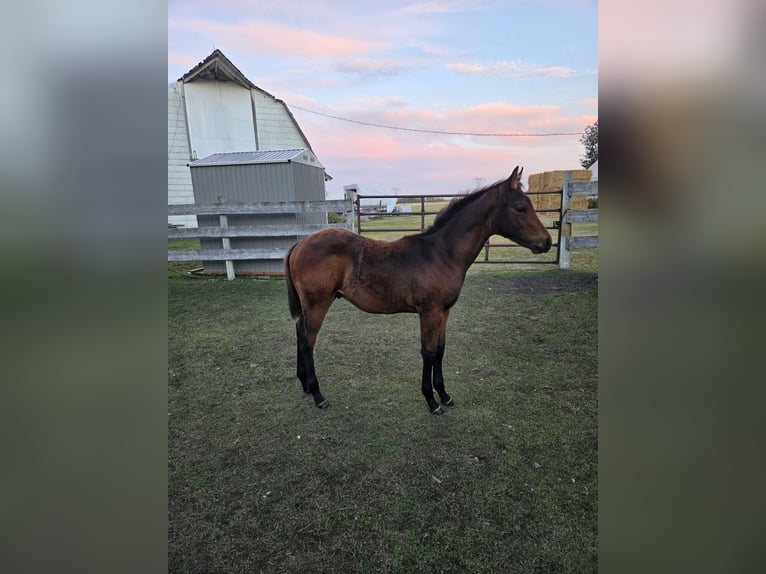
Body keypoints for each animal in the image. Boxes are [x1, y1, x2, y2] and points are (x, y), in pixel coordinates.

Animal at [285, 166, 552, 414]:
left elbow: (440, 350)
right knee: (308, 339)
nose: (547, 242)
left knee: (299, 331)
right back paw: (318, 395)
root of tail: (300, 243)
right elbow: (428, 351)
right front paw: (432, 401)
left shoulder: (444, 311)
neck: (442, 253)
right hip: (318, 303)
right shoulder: (429, 312)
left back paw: (305, 384)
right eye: (520, 208)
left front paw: (444, 395)